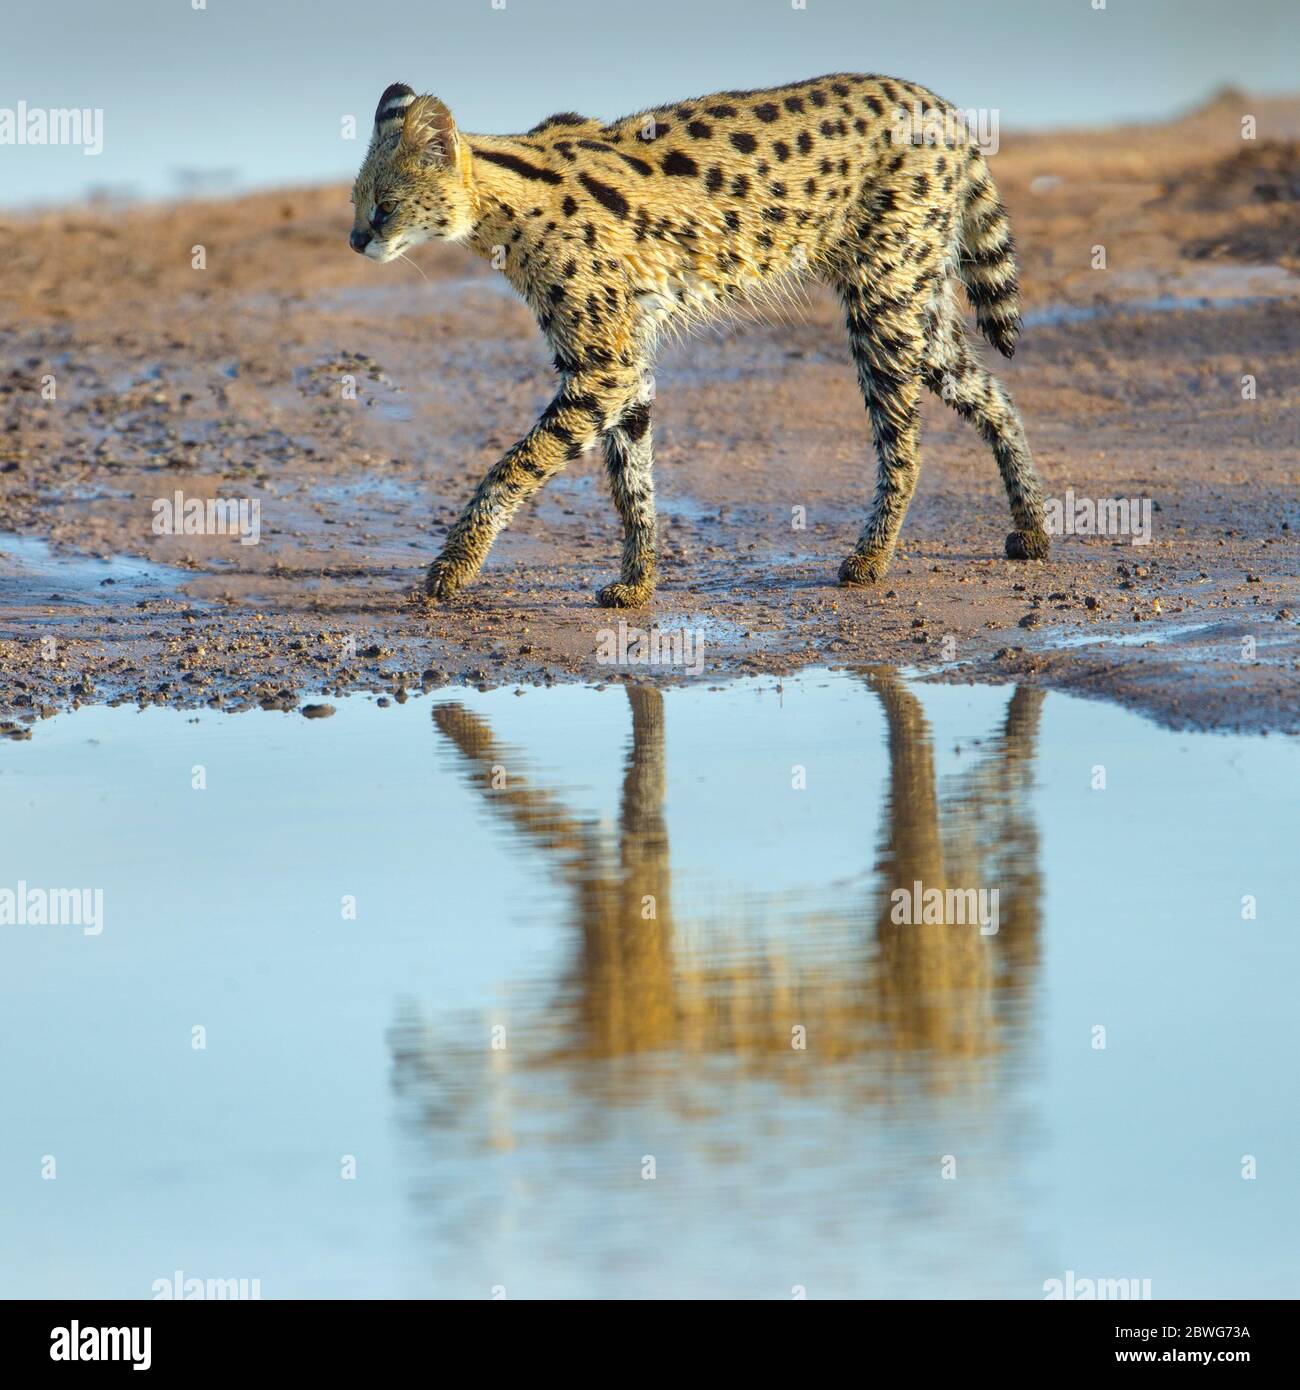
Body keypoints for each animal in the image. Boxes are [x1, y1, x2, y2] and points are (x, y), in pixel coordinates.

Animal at [346, 70, 1045, 603]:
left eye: (383, 205)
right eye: (356, 202)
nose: (355, 242)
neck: (505, 207)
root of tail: (942, 106)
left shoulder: (603, 365)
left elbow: (515, 464)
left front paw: (453, 568)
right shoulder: (623, 365)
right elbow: (632, 481)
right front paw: (637, 584)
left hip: (884, 299)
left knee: (906, 445)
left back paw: (869, 561)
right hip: (917, 303)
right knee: (993, 395)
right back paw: (1033, 529)